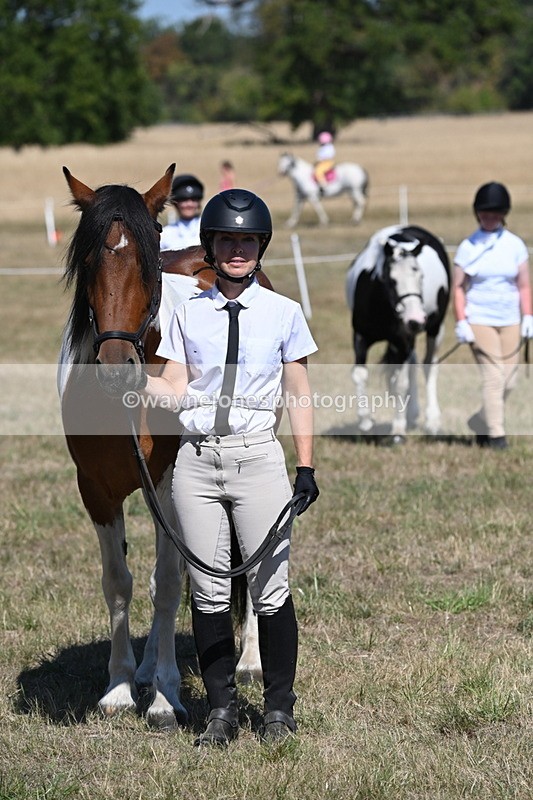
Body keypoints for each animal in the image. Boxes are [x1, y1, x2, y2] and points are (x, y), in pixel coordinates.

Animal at [58, 165, 267, 729]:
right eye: (87, 256)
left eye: (149, 251)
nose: (116, 368)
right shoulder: (96, 490)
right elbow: (120, 581)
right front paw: (118, 688)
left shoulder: (174, 484)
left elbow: (171, 583)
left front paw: (165, 700)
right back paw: (148, 667)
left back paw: (249, 662)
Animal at [345, 224, 450, 440]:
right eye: (391, 280)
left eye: (421, 277)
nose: (416, 319)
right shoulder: (360, 337)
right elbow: (360, 374)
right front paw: (365, 421)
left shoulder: (402, 339)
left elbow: (400, 383)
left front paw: (398, 429)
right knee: (413, 362)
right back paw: (413, 413)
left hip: (435, 330)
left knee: (429, 366)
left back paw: (432, 421)